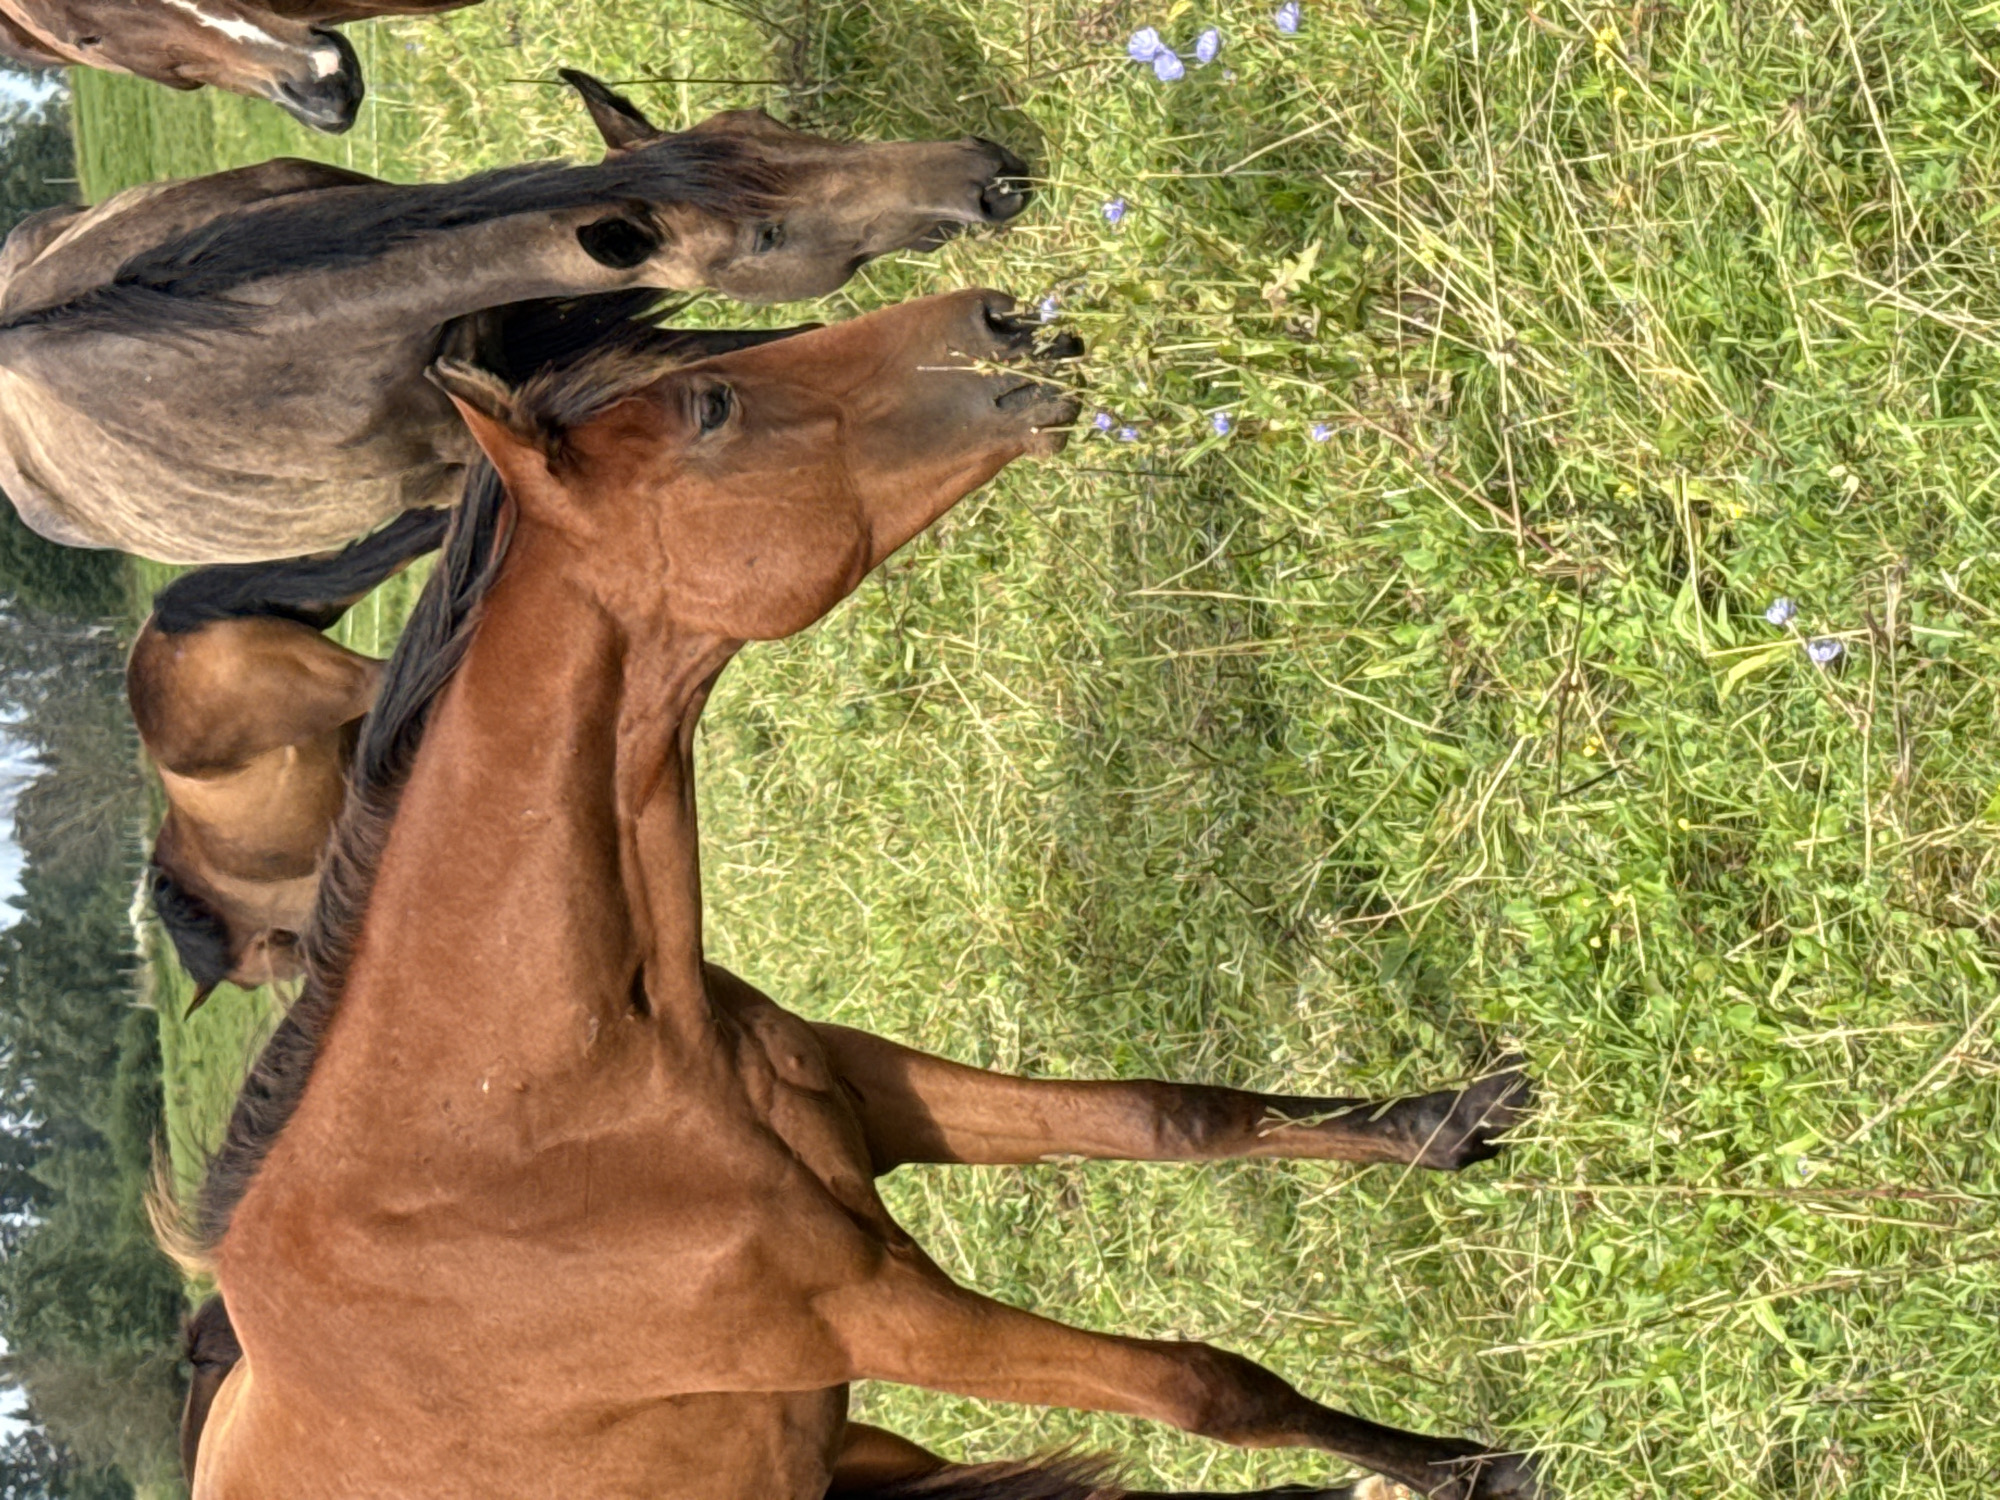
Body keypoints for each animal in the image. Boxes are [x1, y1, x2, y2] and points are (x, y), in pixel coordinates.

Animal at [166, 289, 1538, 1500]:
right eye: (712, 406)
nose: (1003, 319)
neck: (517, 1116)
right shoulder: (872, 1313)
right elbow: (1206, 1387)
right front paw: (1475, 1466)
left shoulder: (869, 1095)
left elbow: (1170, 1115)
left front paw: (1457, 1114)